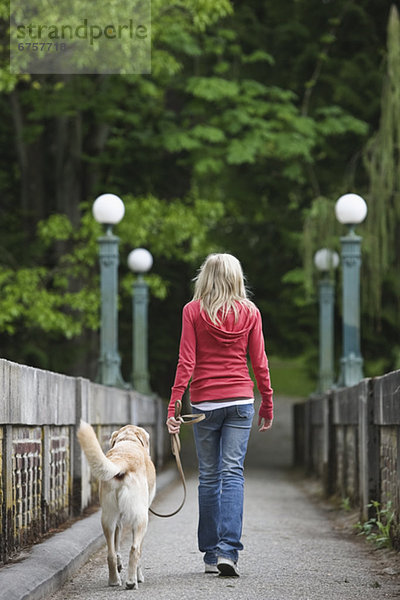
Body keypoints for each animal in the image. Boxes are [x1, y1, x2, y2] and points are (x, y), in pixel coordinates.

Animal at [77, 420, 155, 588]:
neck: (128, 441)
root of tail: (123, 461)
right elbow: (139, 550)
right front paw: (139, 576)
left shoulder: (118, 520)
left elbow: (117, 546)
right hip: (141, 519)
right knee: (134, 549)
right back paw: (131, 581)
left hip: (108, 518)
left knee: (110, 553)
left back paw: (114, 580)